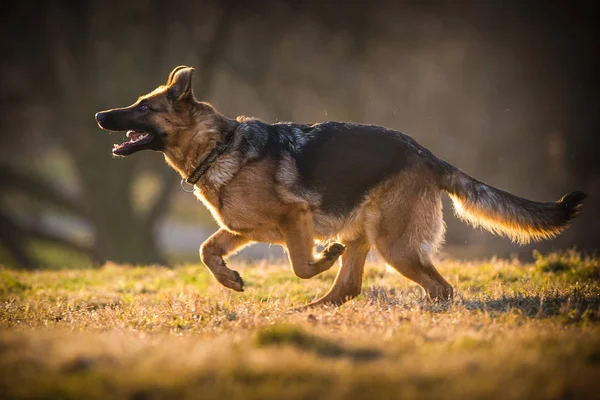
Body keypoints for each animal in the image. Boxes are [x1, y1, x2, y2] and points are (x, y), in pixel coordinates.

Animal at [96, 67, 588, 308]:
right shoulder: (242, 230)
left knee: (440, 288)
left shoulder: (293, 219)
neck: (218, 147)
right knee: (347, 288)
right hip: (365, 232)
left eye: (144, 107)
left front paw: (320, 258)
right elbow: (206, 249)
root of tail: (426, 155)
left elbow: (300, 264)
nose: (100, 116)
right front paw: (230, 279)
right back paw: (311, 311)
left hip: (393, 243)